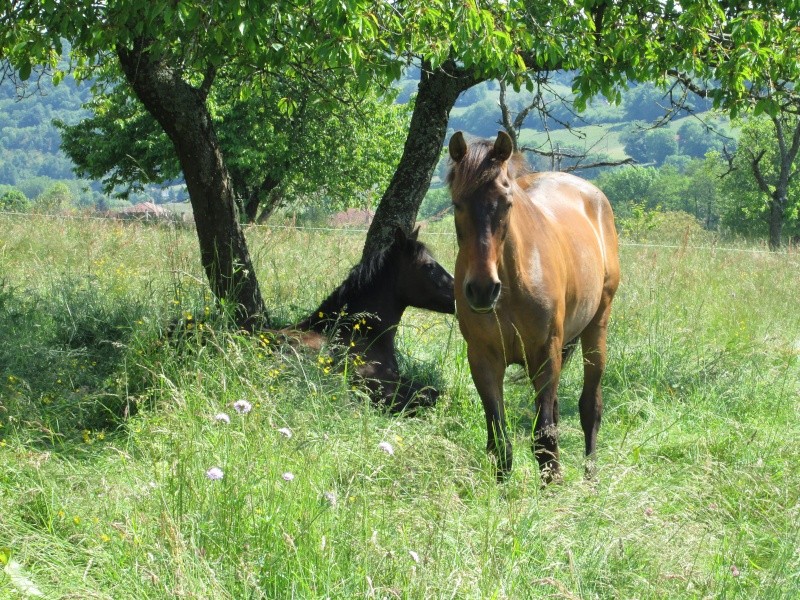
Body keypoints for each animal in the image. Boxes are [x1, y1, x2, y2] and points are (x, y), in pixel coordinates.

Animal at [446, 131, 620, 482]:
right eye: (457, 204)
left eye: (506, 202)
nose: (482, 290)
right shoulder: (483, 359)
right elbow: (500, 440)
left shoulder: (546, 354)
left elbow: (545, 437)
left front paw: (553, 486)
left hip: (596, 329)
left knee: (589, 408)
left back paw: (591, 480)